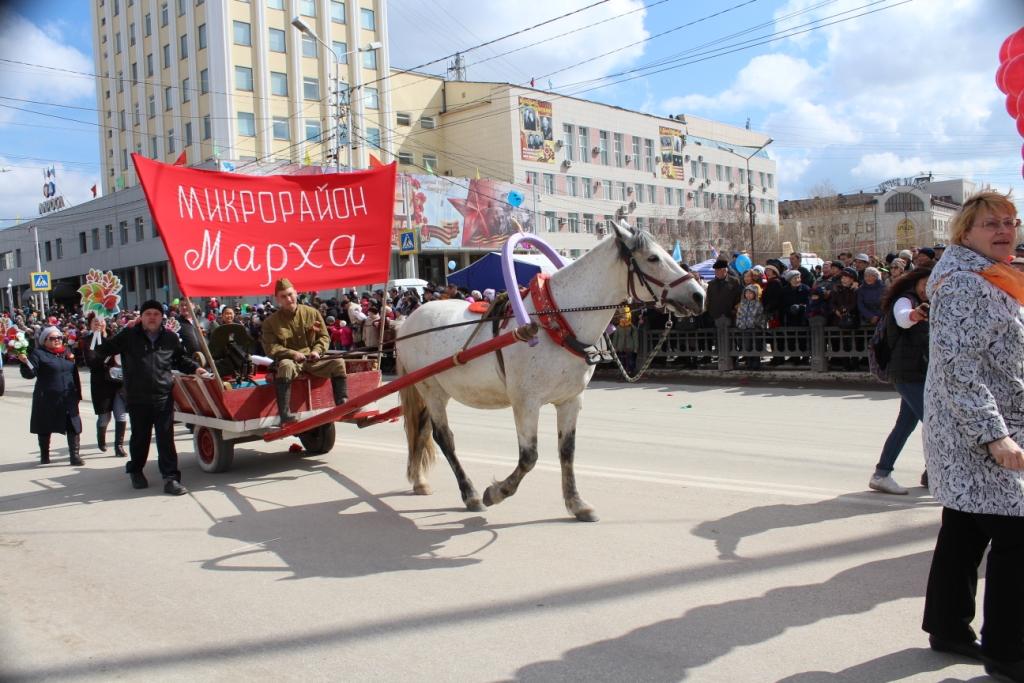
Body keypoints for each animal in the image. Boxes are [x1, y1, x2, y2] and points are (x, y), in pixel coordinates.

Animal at [391, 222, 704, 520]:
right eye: (652, 258)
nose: (699, 295)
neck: (555, 321)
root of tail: (408, 321)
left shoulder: (570, 400)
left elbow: (567, 452)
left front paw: (576, 504)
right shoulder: (525, 403)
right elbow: (529, 456)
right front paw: (496, 492)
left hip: (433, 392)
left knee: (421, 429)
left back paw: (419, 480)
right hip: (432, 390)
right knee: (444, 438)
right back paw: (470, 494)